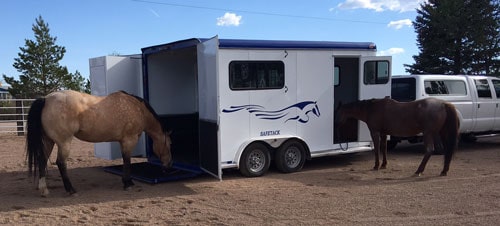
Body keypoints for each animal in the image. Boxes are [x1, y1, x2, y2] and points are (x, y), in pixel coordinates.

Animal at [26, 90, 173, 196]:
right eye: (170, 145)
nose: (169, 166)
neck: (138, 109)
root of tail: (46, 99)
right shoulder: (129, 140)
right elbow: (127, 161)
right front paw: (127, 183)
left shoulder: (123, 141)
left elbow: (125, 160)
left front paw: (128, 181)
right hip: (64, 142)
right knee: (61, 163)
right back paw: (71, 190)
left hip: (48, 141)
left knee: (42, 160)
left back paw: (44, 190)